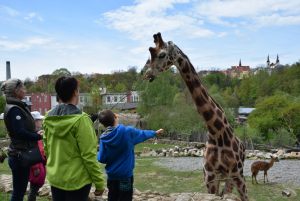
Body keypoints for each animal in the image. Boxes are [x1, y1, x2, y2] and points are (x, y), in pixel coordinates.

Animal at [143, 32, 248, 200]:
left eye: (162, 54)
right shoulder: (209, 176)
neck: (217, 133)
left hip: (235, 175)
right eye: (149, 55)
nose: (147, 75)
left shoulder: (237, 174)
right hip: (224, 177)